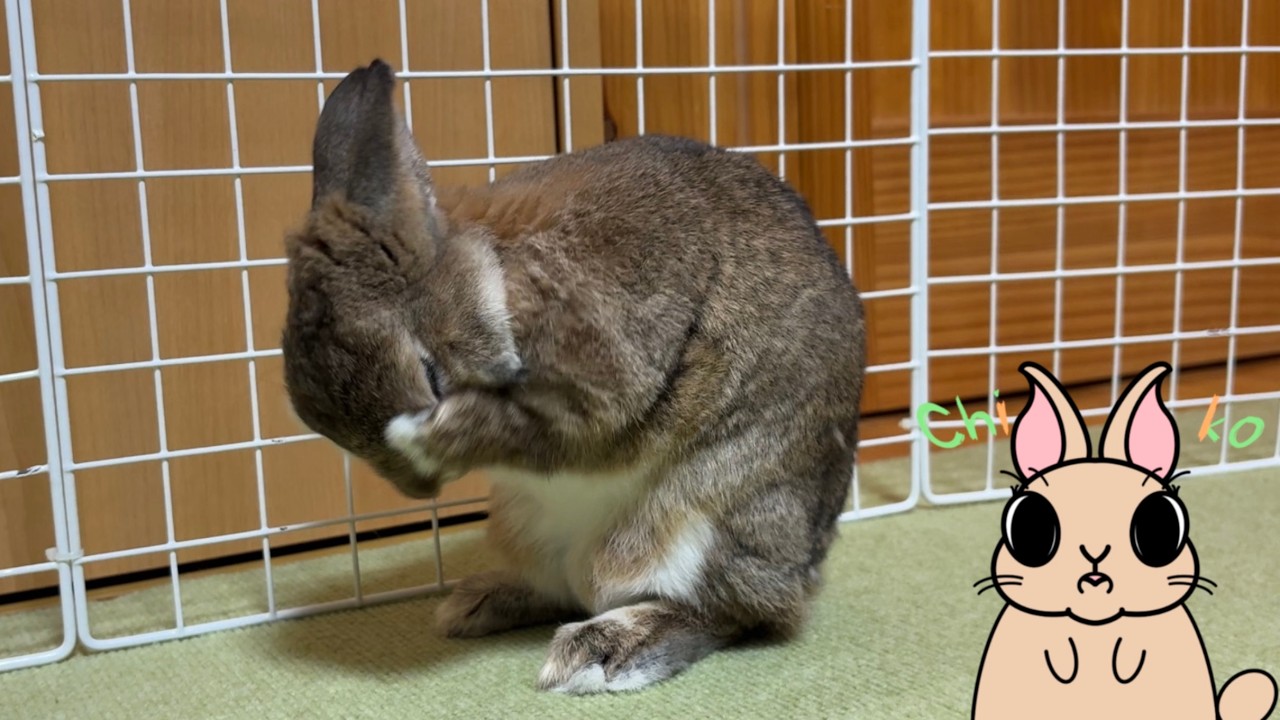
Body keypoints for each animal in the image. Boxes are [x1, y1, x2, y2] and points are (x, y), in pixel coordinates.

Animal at [279, 59, 866, 694]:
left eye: (430, 374)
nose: (419, 489)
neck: (496, 279)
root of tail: (807, 566)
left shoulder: (606, 370)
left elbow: (537, 429)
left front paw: (427, 435)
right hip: (526, 525)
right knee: (565, 586)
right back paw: (475, 604)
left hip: (702, 524)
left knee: (730, 613)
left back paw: (601, 652)